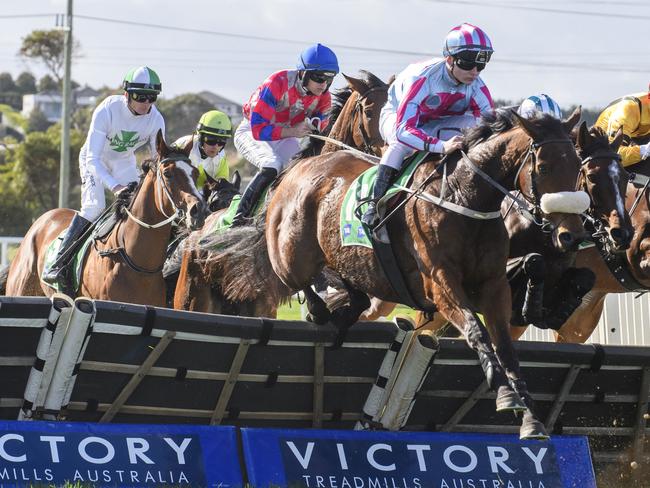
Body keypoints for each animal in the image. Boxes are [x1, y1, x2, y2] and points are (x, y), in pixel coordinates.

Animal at [5, 133, 206, 306]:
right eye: (167, 174)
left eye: (195, 173)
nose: (199, 210)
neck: (138, 264)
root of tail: (42, 219)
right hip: (21, 289)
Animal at [209, 109, 588, 438]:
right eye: (544, 165)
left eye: (578, 167)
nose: (570, 234)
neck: (464, 198)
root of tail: (296, 169)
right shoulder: (440, 283)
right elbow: (476, 331)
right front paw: (505, 395)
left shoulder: (493, 286)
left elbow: (506, 346)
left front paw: (530, 419)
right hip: (291, 254)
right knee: (295, 278)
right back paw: (320, 310)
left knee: (350, 286)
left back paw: (344, 307)